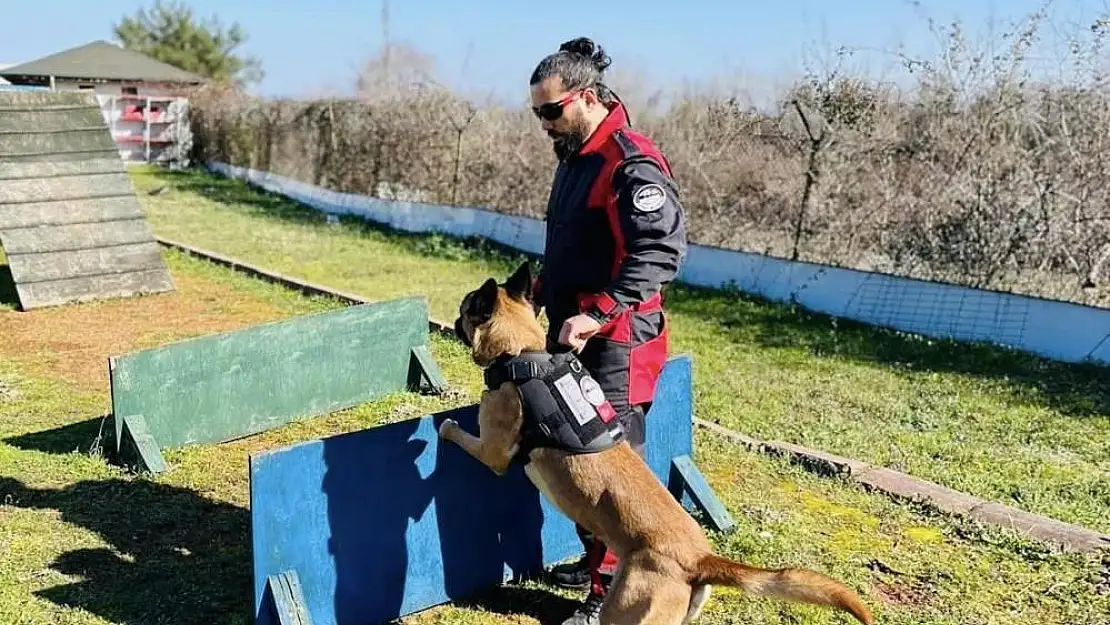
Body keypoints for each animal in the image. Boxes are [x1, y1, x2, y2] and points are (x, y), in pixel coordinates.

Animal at [435, 261, 874, 621]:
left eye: (464, 309)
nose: (454, 319)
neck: (523, 353)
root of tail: (700, 558)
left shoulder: (493, 452)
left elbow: (465, 437)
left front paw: (445, 429)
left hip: (624, 610)